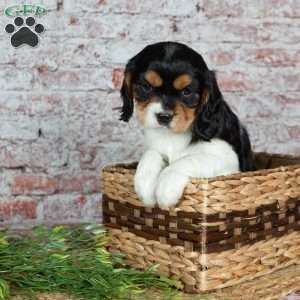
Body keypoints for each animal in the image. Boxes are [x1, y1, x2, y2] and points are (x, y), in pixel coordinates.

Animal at [119, 41, 255, 209]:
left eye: (187, 92)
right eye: (146, 87)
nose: (164, 117)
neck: (172, 136)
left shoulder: (228, 159)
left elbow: (187, 160)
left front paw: (166, 188)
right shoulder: (155, 146)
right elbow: (150, 154)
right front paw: (145, 186)